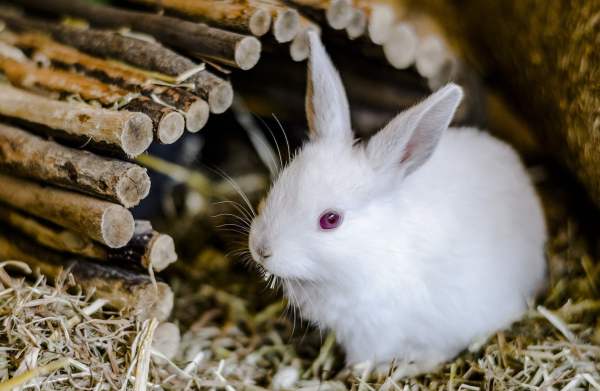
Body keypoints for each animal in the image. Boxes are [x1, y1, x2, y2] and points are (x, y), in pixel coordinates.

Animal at [246, 33, 548, 376]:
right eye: (281, 182)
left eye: (330, 219)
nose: (261, 249)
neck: (372, 251)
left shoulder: (375, 332)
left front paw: (359, 372)